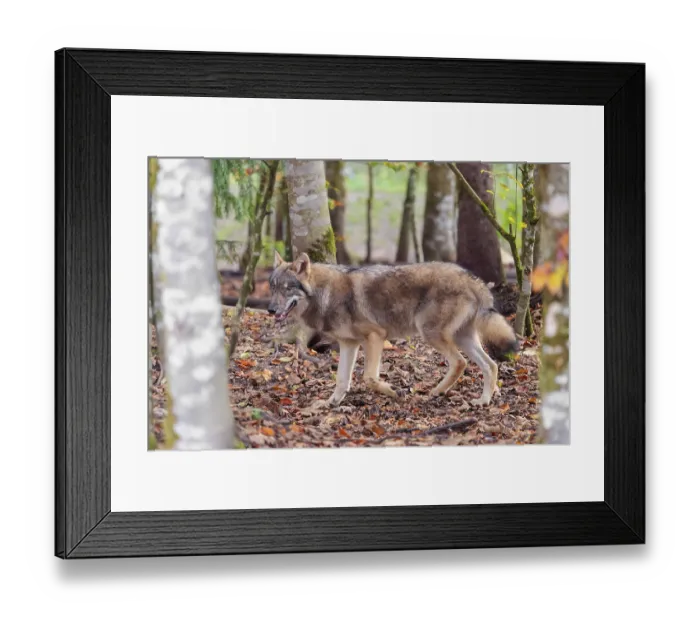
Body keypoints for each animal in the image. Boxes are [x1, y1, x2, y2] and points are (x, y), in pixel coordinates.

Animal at [268, 250, 519, 409]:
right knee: (490, 365)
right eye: (272, 287)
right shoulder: (349, 344)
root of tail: (473, 279)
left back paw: (437, 392)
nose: (270, 309)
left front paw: (395, 392)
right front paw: (331, 404)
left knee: (460, 363)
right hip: (463, 338)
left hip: (432, 334)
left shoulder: (375, 337)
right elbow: (342, 380)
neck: (325, 294)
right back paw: (483, 401)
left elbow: (369, 377)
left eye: (287, 288)